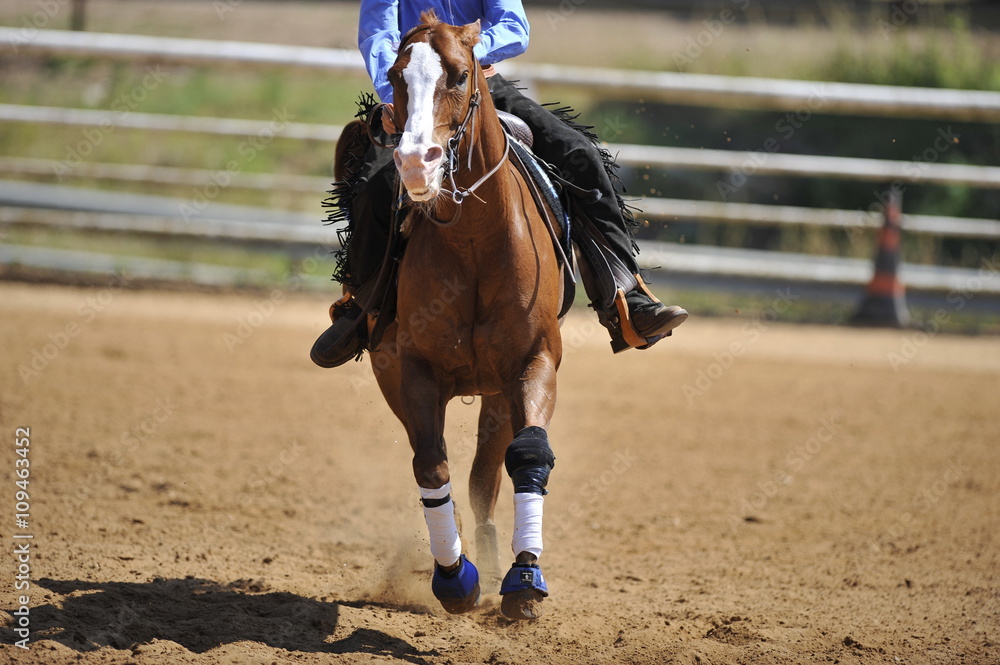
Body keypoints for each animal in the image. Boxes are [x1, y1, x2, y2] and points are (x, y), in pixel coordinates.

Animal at [360, 12, 564, 620]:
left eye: (457, 74)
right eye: (396, 77)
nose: (414, 163)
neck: (475, 242)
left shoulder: (535, 360)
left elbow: (529, 454)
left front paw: (524, 579)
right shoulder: (412, 369)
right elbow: (431, 466)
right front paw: (455, 578)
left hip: (497, 390)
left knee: (485, 478)